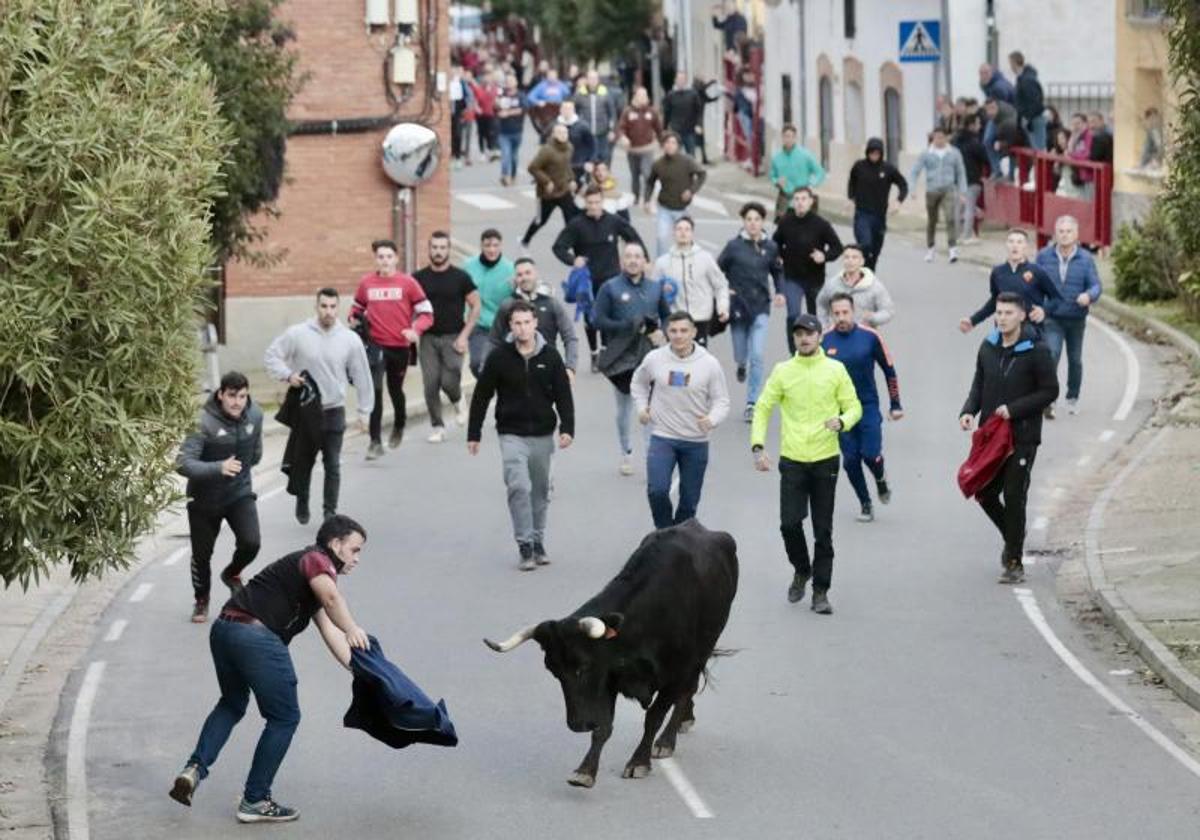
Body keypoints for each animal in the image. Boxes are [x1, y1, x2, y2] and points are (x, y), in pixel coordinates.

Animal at [482, 518, 734, 787]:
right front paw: (585, 771)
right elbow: (603, 726)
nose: (577, 724)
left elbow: (654, 716)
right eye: (553, 671)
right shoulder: (609, 677)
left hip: (703, 650)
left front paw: (639, 761)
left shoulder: (675, 673)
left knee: (688, 690)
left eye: (582, 666)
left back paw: (668, 739)